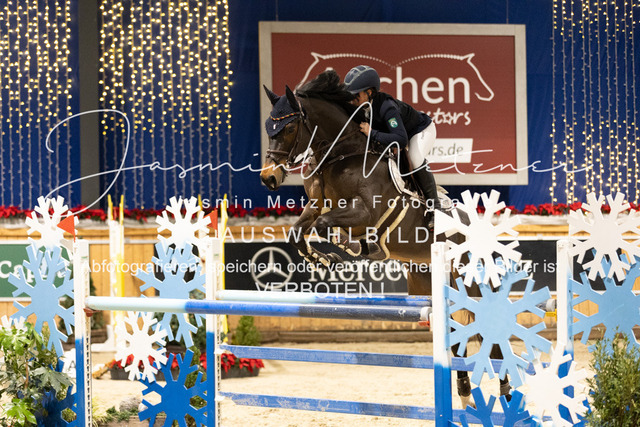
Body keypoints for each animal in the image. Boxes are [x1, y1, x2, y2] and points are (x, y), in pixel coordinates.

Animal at [259, 70, 510, 406]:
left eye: (287, 127)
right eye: (268, 126)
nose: (268, 177)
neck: (340, 154)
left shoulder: (365, 211)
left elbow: (328, 225)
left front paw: (350, 247)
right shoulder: (316, 205)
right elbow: (298, 232)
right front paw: (322, 258)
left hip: (475, 284)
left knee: (492, 335)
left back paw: (506, 394)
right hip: (430, 283)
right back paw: (466, 394)